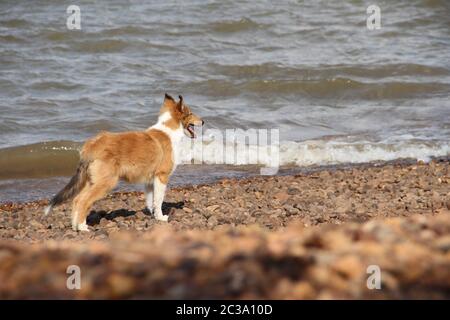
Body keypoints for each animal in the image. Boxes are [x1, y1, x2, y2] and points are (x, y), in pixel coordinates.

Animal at [44, 94, 204, 231]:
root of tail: (93, 145)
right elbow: (158, 200)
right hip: (106, 182)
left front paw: (152, 216)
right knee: (83, 200)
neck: (169, 131)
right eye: (190, 113)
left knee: (77, 199)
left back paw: (75, 225)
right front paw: (161, 218)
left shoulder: (150, 180)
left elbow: (150, 200)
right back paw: (82, 227)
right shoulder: (161, 176)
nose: (203, 121)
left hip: (93, 181)